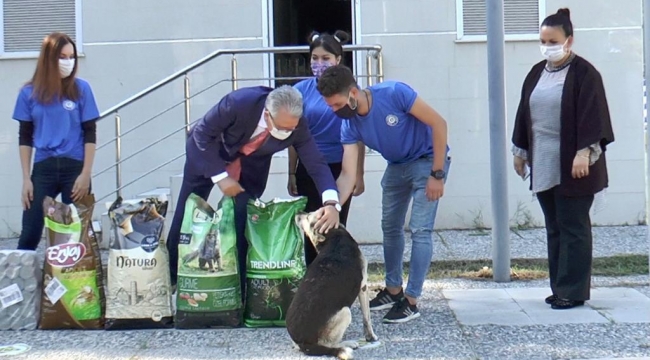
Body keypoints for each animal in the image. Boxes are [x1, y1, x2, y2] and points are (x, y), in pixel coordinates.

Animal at [286, 212, 378, 358]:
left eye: (309, 215)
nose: (298, 213)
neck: (332, 238)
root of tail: (304, 344)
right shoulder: (363, 287)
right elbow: (367, 318)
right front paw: (371, 336)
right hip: (345, 312)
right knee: (329, 345)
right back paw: (348, 343)